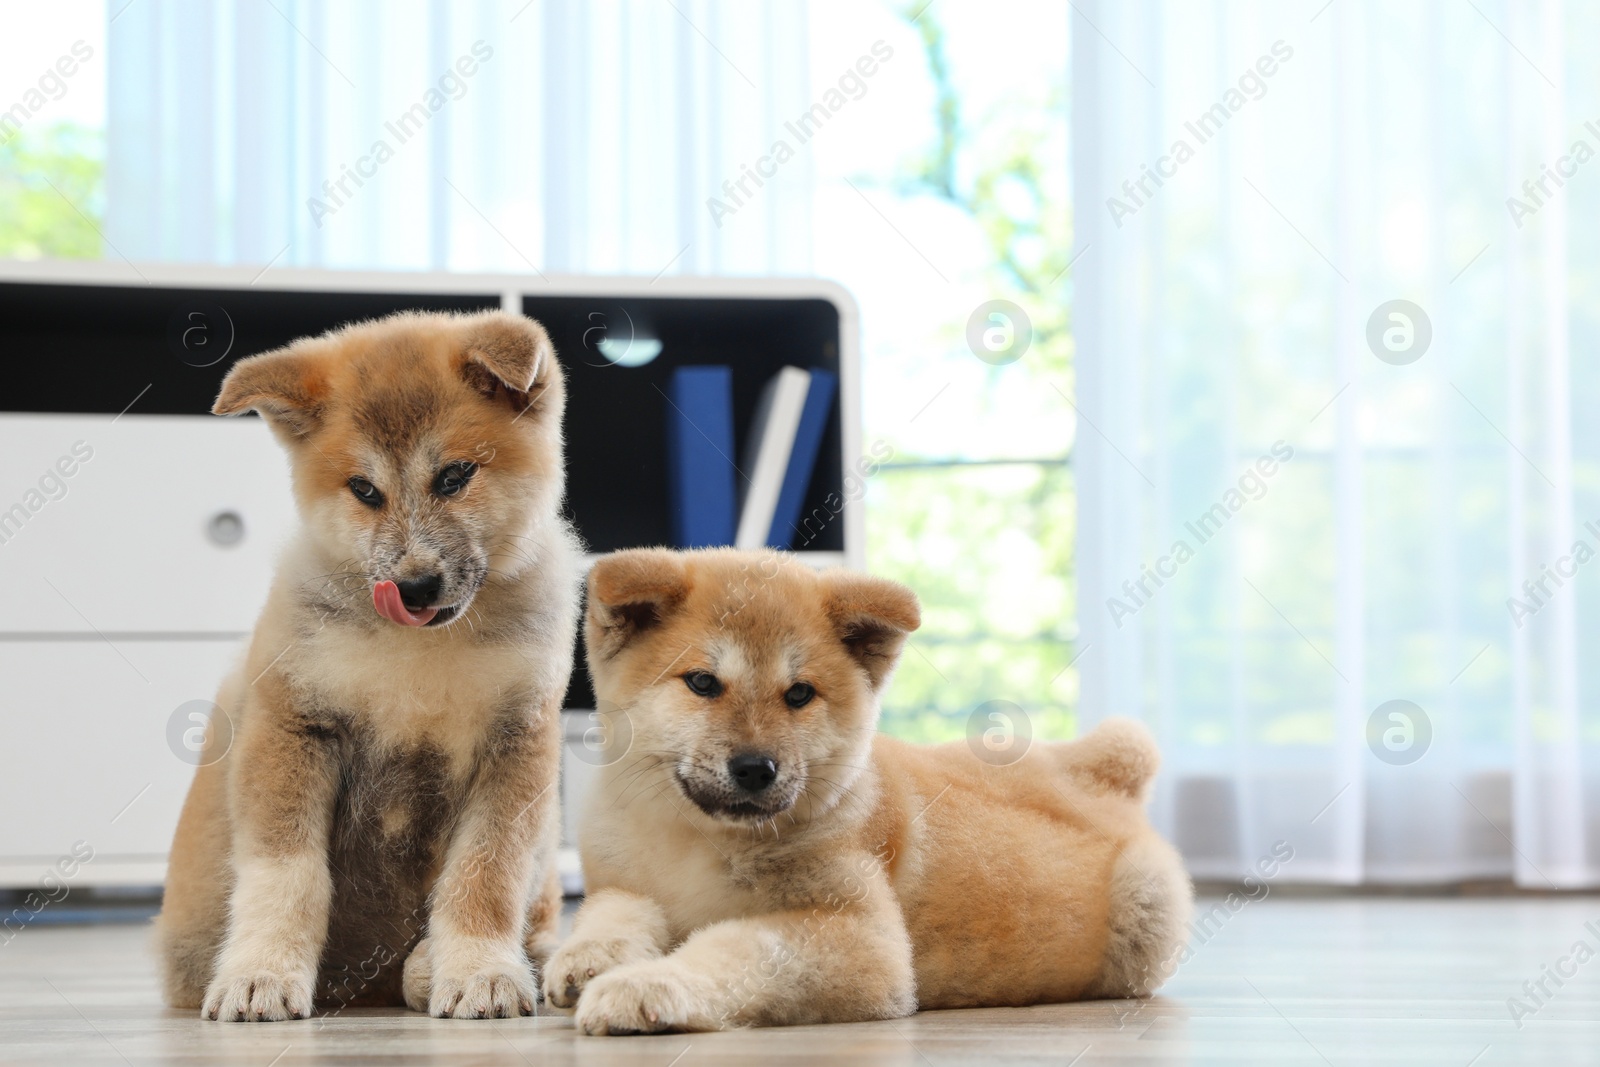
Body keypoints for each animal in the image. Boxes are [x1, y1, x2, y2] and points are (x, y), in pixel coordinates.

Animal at [154, 307, 582, 1017]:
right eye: (364, 490)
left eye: (454, 477)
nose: (412, 588)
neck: (419, 653)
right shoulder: (292, 728)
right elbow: (286, 877)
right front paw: (261, 973)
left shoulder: (516, 744)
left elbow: (486, 875)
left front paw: (480, 970)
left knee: (536, 913)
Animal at [547, 547, 1190, 1030]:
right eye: (703, 683)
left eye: (799, 694)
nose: (756, 768)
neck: (695, 840)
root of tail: (1100, 777)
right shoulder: (623, 878)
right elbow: (615, 911)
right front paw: (585, 959)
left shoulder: (860, 939)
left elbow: (733, 948)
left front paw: (645, 984)